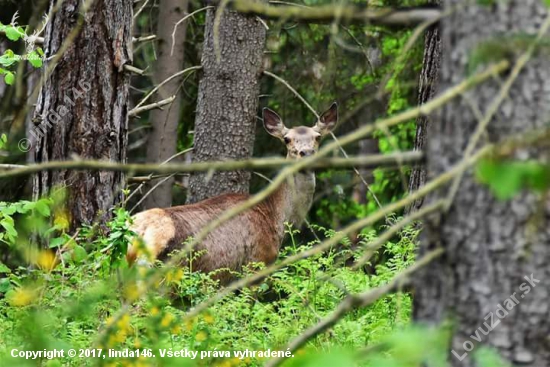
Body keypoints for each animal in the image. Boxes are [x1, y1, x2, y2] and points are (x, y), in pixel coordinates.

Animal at [126, 102, 338, 284]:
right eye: (287, 139)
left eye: (318, 136)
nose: (306, 152)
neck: (277, 216)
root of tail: (140, 233)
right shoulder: (258, 260)